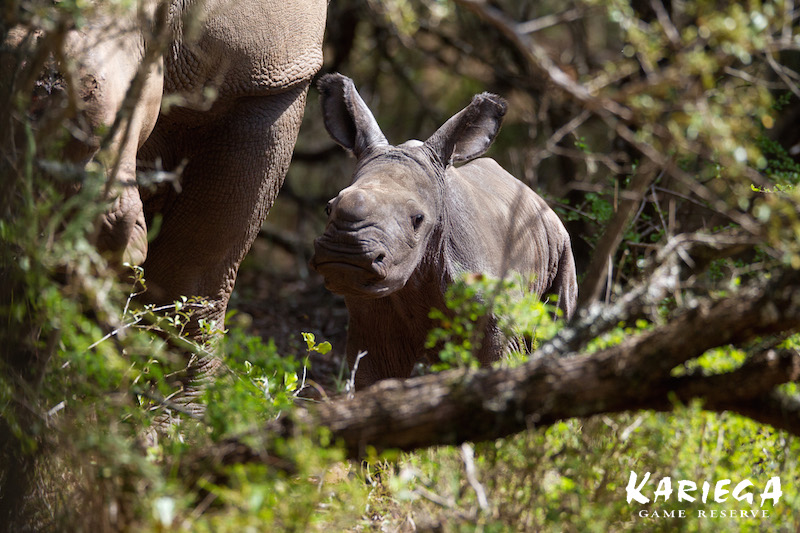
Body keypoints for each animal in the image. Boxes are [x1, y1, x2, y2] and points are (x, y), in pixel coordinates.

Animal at [310, 72, 580, 388]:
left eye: (418, 220)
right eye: (328, 208)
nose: (346, 252)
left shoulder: (496, 318)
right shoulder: (370, 320)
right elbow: (373, 378)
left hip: (560, 242)